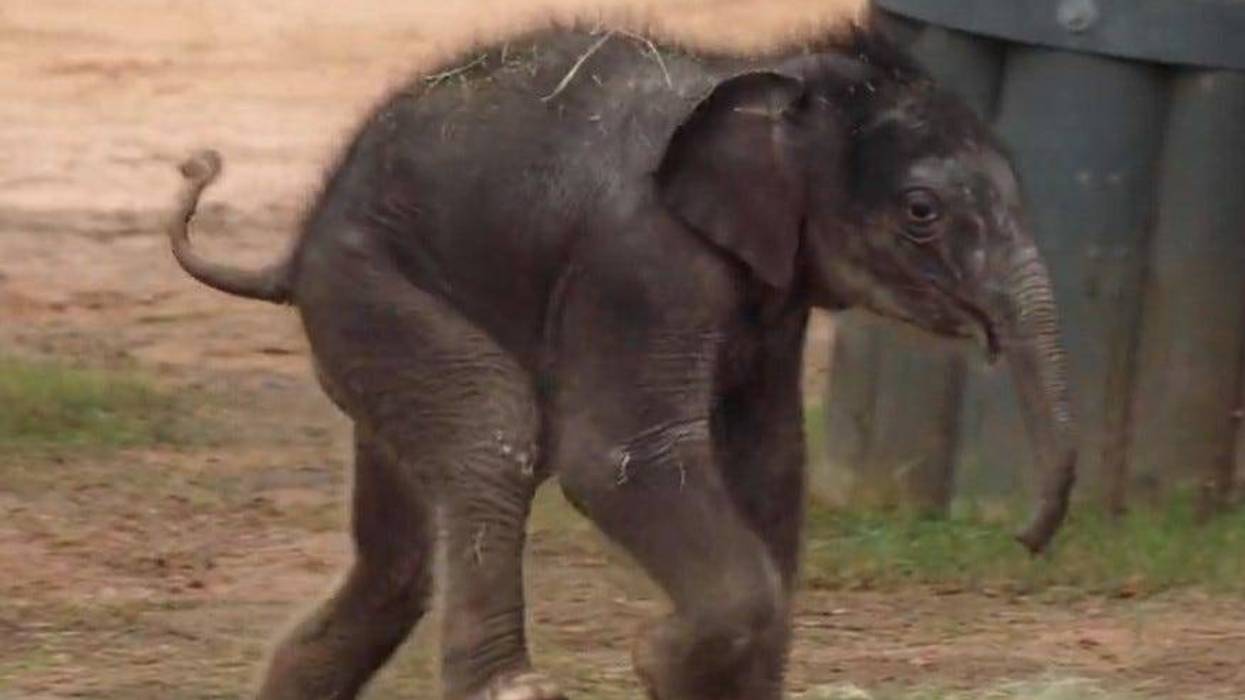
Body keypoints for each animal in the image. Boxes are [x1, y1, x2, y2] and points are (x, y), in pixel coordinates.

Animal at [165, 21, 1077, 700]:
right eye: (921, 212)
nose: (1025, 540)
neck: (767, 73)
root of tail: (293, 250)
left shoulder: (771, 298)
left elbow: (772, 463)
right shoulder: (639, 258)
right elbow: (619, 462)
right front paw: (659, 655)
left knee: (398, 558)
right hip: (366, 288)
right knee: (493, 430)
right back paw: (513, 686)